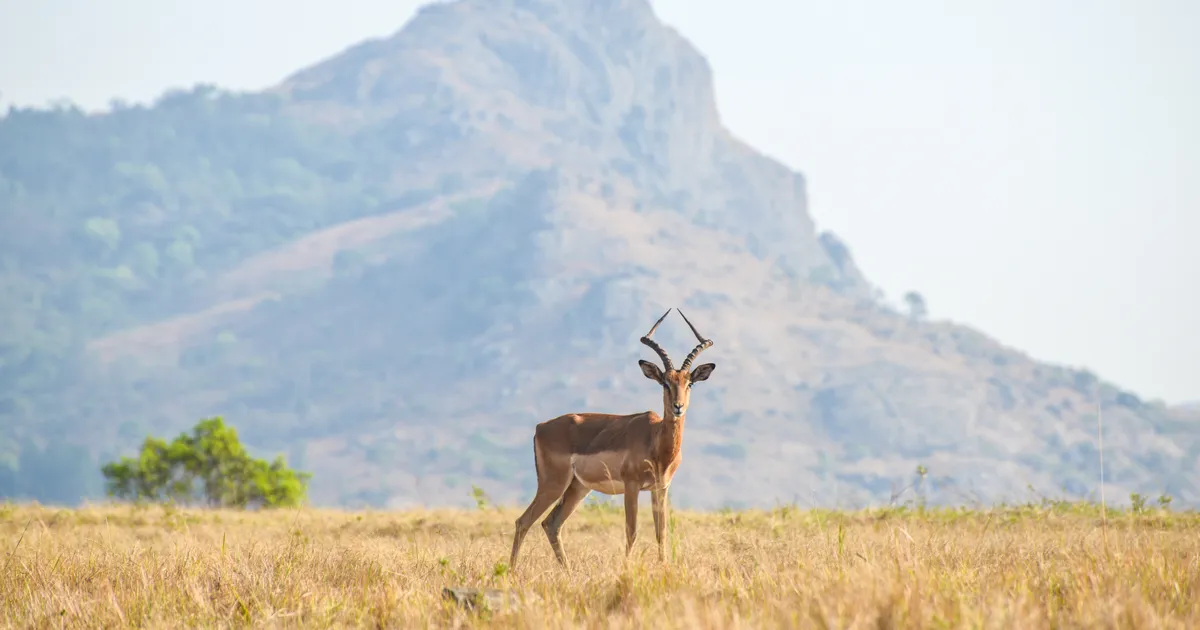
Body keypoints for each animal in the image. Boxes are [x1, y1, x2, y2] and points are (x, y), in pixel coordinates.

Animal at [506, 307, 710, 566]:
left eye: (689, 383)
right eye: (664, 383)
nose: (678, 407)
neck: (656, 441)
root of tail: (540, 427)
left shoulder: (661, 488)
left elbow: (661, 533)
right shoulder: (631, 486)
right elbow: (632, 530)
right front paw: (626, 568)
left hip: (577, 488)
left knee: (550, 524)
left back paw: (568, 571)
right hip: (553, 484)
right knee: (523, 521)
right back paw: (512, 571)